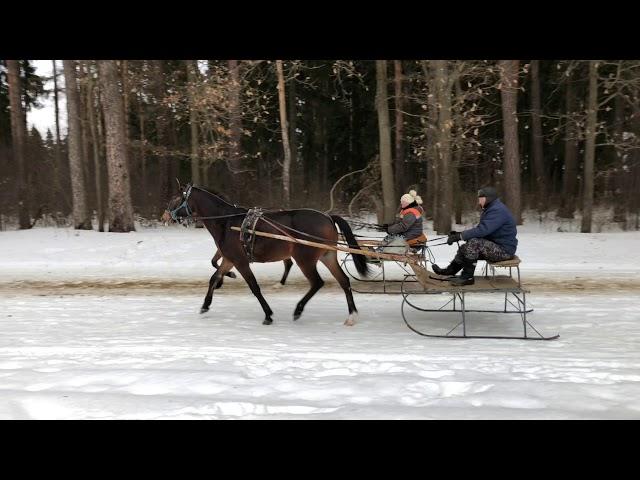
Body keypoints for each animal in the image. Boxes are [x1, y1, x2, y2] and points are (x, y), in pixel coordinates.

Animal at [161, 184, 370, 326]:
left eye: (175, 199)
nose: (164, 217)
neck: (227, 222)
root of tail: (327, 217)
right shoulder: (229, 259)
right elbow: (214, 277)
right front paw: (205, 305)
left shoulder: (240, 261)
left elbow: (254, 287)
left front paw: (268, 315)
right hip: (327, 256)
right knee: (344, 281)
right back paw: (352, 315)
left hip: (305, 259)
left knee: (317, 282)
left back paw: (298, 310)